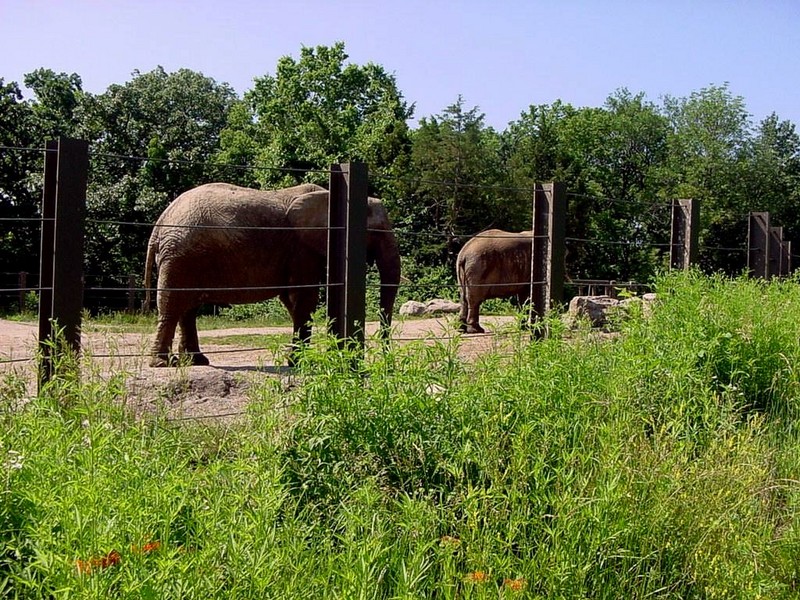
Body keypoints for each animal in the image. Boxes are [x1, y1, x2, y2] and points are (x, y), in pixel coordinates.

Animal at [142, 183, 400, 366]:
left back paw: (196, 362)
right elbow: (305, 297)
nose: (388, 364)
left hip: (184, 256)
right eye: (377, 231)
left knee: (188, 308)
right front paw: (302, 363)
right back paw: (164, 363)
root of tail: (161, 222)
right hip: (181, 255)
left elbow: (292, 300)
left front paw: (299, 360)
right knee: (173, 305)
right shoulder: (302, 248)